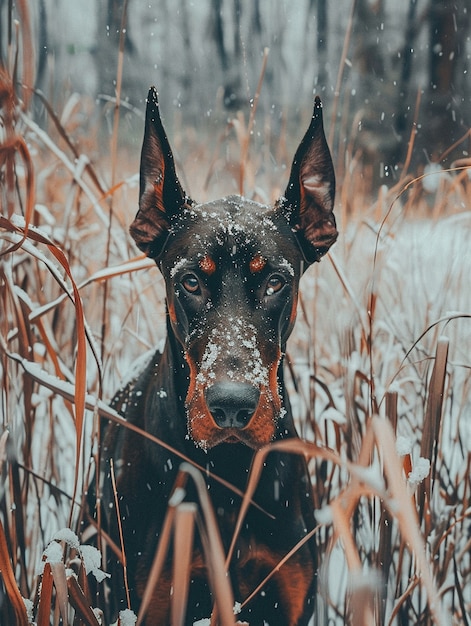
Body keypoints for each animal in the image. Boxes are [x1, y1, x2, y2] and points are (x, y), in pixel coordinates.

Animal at [96, 85, 338, 620]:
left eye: (275, 281)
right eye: (190, 281)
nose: (231, 406)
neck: (228, 473)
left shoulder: (290, 597)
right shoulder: (150, 598)